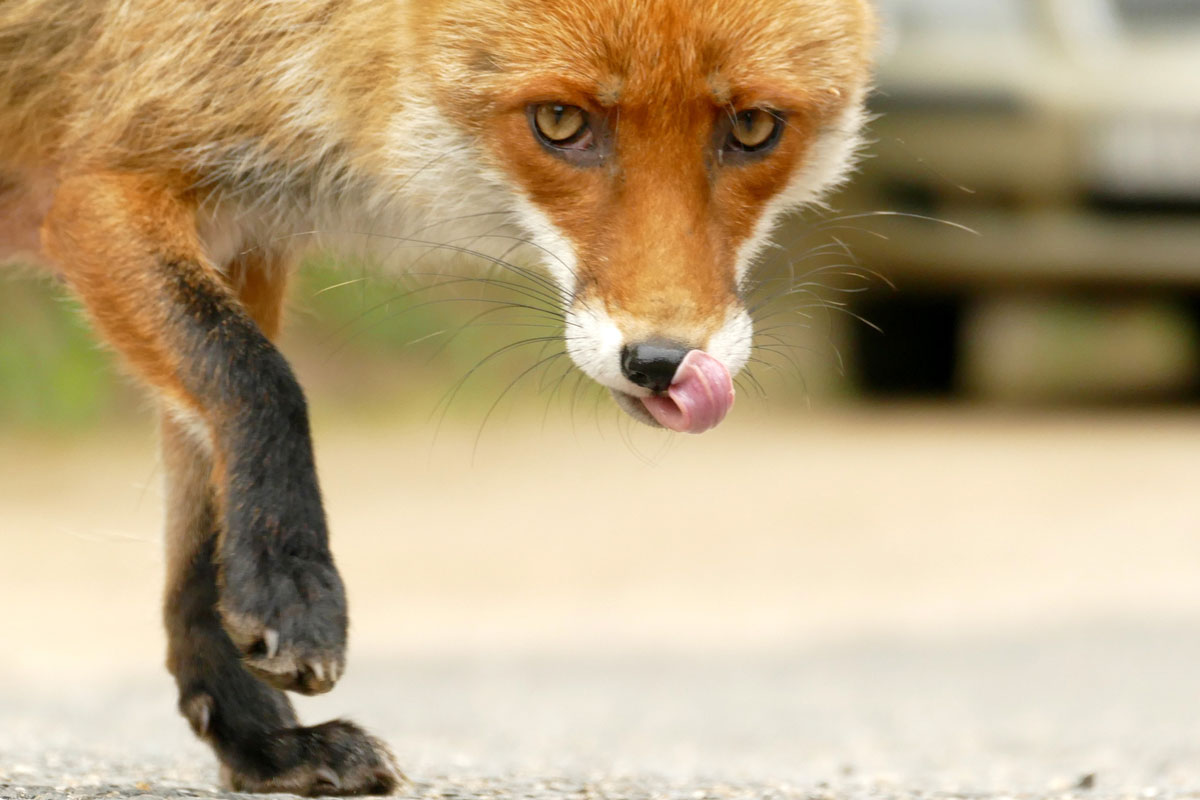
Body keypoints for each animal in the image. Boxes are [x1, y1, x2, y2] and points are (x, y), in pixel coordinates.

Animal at [0, 0, 876, 794]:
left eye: (754, 128)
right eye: (559, 121)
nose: (664, 363)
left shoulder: (241, 231)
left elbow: (201, 528)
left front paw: (258, 742)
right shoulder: (98, 188)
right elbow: (258, 381)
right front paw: (293, 591)